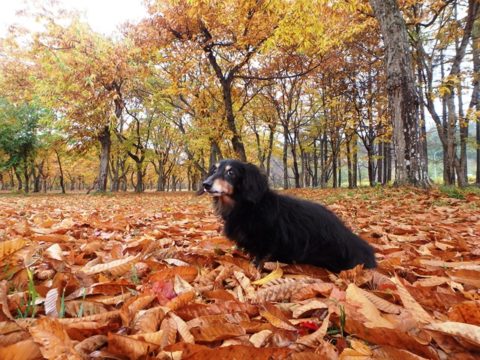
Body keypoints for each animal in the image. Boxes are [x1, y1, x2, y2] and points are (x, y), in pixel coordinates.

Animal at [201, 160, 376, 272]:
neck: (247, 207)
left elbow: (260, 256)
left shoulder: (267, 241)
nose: (205, 184)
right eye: (214, 170)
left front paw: (254, 268)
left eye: (231, 172)